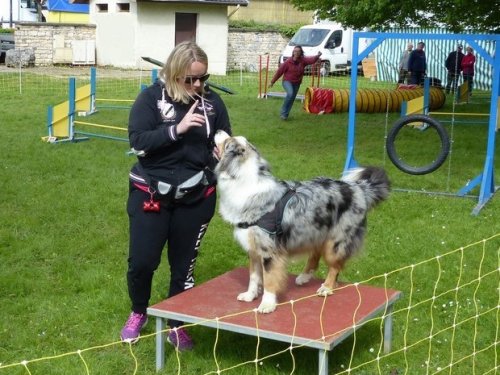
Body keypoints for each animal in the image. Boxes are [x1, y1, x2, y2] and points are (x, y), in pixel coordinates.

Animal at [213, 131, 388, 312]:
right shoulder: (253, 249)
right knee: (316, 254)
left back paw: (327, 287)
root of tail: (359, 188)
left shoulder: (269, 251)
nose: (218, 131)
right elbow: (253, 277)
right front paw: (249, 296)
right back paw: (304, 276)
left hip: (335, 242)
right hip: (315, 230)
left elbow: (268, 279)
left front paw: (267, 304)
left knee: (335, 266)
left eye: (227, 142)